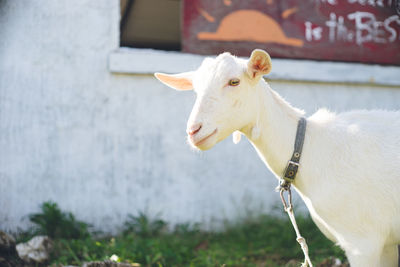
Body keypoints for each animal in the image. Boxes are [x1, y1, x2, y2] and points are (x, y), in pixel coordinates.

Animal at [154, 49, 400, 266]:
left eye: (234, 82)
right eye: (195, 89)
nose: (193, 131)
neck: (312, 148)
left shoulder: (362, 242)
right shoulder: (385, 243)